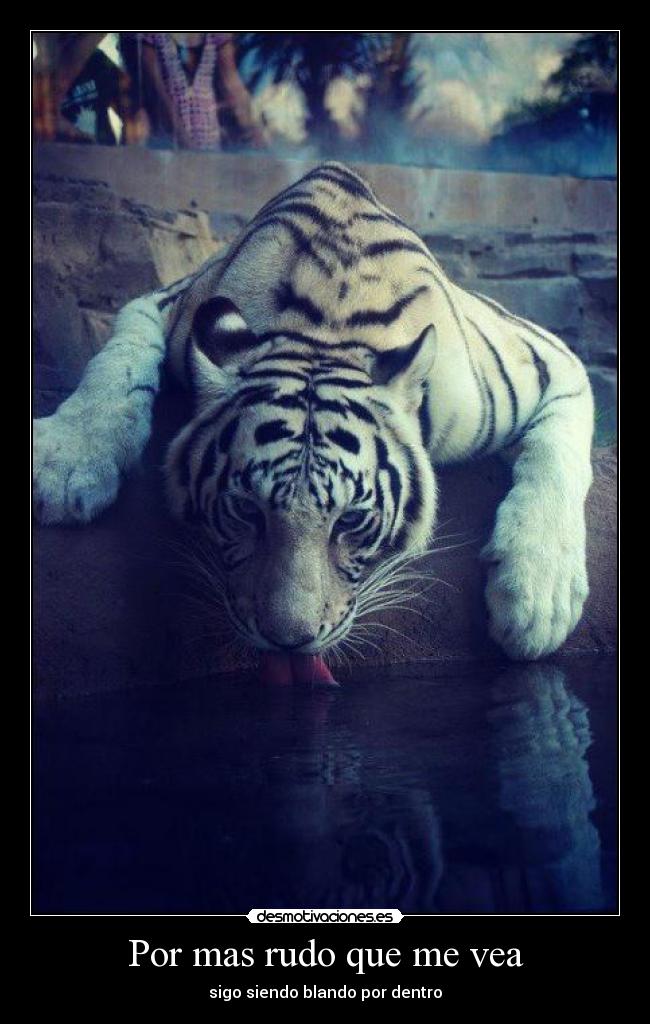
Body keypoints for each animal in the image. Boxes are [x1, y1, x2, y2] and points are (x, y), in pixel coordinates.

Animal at [33, 161, 594, 662]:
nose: (288, 640)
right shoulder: (163, 302)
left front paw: (537, 601)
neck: (325, 330)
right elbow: (119, 362)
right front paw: (66, 465)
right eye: (245, 511)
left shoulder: (548, 360)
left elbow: (559, 460)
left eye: (352, 520)